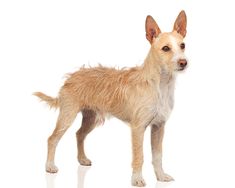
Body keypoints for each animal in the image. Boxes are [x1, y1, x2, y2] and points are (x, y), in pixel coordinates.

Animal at [34, 11, 187, 187]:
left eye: (182, 45)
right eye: (166, 48)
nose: (183, 62)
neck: (159, 83)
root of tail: (71, 78)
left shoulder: (159, 127)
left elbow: (158, 155)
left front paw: (161, 176)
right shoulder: (138, 128)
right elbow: (139, 156)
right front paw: (137, 179)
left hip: (90, 118)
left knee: (79, 134)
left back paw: (82, 159)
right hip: (67, 115)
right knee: (52, 139)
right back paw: (49, 166)